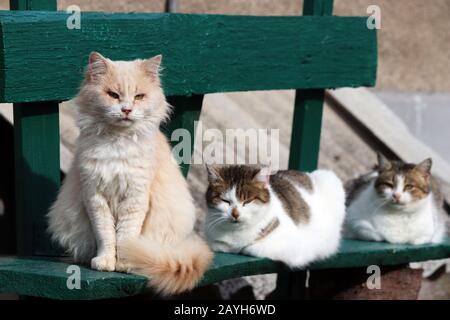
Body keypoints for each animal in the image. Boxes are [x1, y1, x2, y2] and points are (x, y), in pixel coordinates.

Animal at [47, 52, 213, 296]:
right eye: (113, 95)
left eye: (139, 96)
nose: (126, 110)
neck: (117, 142)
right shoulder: (95, 198)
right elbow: (106, 236)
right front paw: (105, 262)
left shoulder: (135, 197)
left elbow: (125, 236)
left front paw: (126, 262)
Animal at [204, 165, 344, 268]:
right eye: (225, 201)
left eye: (247, 201)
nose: (235, 213)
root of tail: (305, 173)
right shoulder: (211, 237)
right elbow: (218, 244)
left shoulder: (297, 245)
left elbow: (251, 247)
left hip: (330, 178)